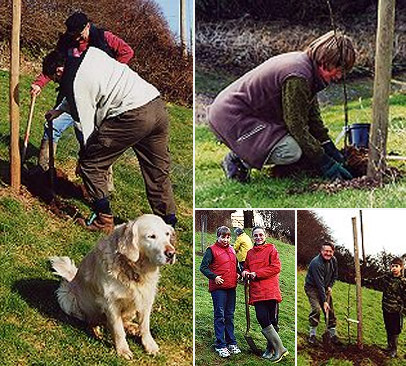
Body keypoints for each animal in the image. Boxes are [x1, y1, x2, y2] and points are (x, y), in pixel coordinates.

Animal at [48, 213, 174, 358]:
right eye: (151, 236)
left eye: (167, 234)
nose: (171, 253)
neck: (133, 269)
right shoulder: (111, 303)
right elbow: (118, 329)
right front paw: (123, 350)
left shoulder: (145, 298)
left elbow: (145, 326)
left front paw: (150, 345)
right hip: (65, 296)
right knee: (90, 319)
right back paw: (95, 328)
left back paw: (132, 328)